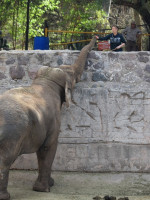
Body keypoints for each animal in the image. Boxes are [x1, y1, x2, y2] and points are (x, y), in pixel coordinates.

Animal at [0, 36, 96, 200]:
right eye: (73, 77)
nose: (95, 37)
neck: (44, 80)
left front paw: (49, 184)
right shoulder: (53, 119)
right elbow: (48, 147)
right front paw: (44, 189)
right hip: (11, 135)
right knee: (5, 161)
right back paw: (5, 196)